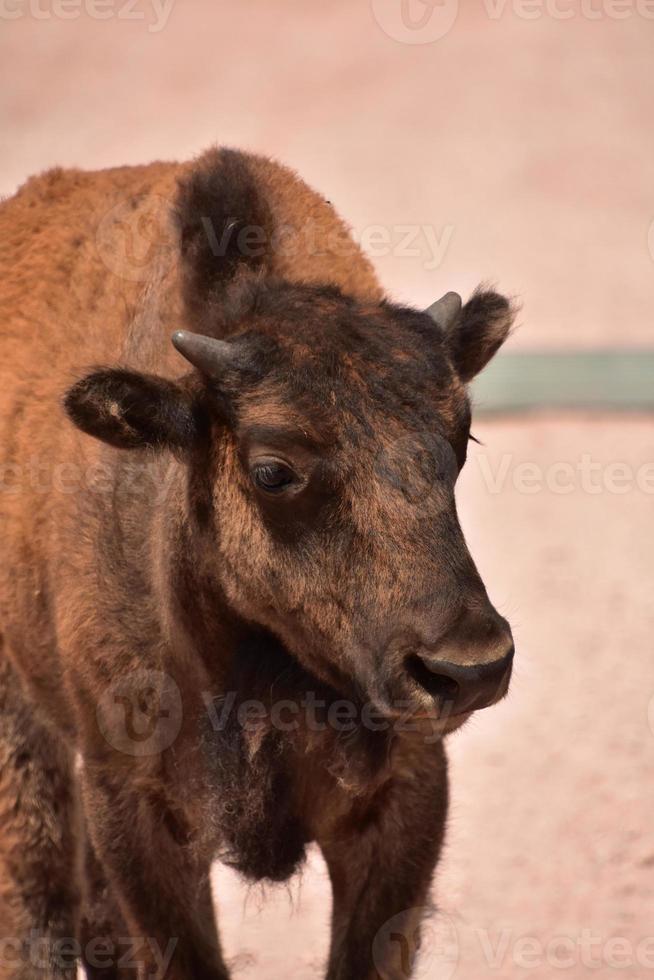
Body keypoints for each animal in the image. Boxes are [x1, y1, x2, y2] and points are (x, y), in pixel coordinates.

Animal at [0, 147, 516, 980]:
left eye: (460, 436)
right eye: (274, 470)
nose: (469, 668)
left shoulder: (402, 797)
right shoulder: (135, 808)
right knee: (37, 905)